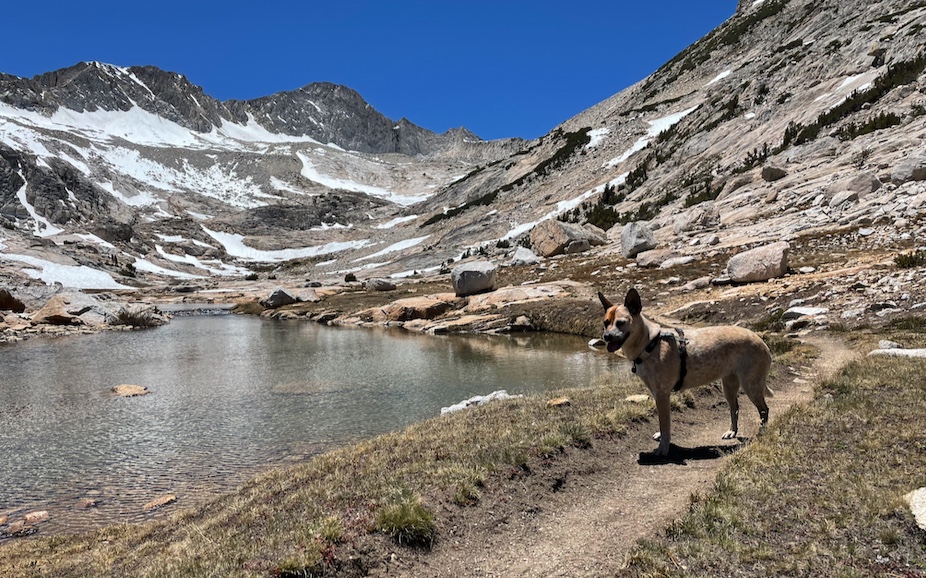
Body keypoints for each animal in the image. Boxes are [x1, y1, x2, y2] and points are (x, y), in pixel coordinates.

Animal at [600, 286, 772, 454]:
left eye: (621, 323)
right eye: (605, 322)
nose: (606, 336)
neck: (650, 343)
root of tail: (761, 341)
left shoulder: (662, 394)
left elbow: (665, 424)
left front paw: (663, 448)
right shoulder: (657, 394)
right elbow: (662, 422)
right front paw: (661, 437)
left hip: (751, 386)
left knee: (764, 410)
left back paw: (762, 433)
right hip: (729, 386)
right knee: (735, 407)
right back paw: (732, 431)